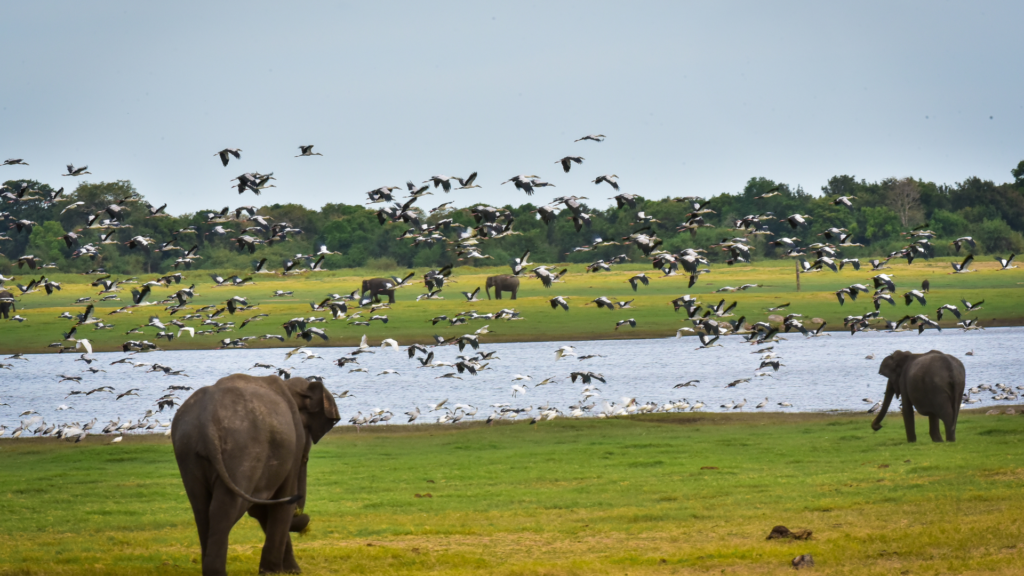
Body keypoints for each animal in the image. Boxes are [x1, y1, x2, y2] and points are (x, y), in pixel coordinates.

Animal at [172, 374, 340, 575]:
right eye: (304, 459)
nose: (304, 517)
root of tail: (207, 420)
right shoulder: (293, 443)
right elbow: (282, 500)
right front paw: (277, 572)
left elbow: (261, 508)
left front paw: (286, 570)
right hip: (243, 452)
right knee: (225, 509)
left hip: (187, 451)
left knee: (201, 508)